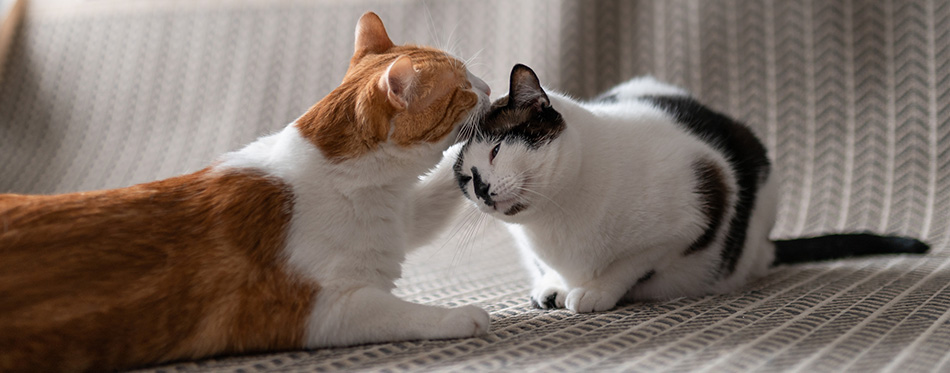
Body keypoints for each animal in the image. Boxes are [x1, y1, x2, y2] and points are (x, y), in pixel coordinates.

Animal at [0, 12, 490, 372]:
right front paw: (460, 315)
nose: (487, 87)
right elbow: (400, 313)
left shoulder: (403, 216)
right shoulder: (317, 311)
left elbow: (438, 189)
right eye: (463, 87)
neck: (366, 186)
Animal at [454, 64, 928, 314]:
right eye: (466, 177)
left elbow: (629, 263)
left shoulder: (694, 213)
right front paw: (553, 285)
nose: (483, 189)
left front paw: (594, 291)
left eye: (496, 150)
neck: (554, 218)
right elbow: (543, 267)